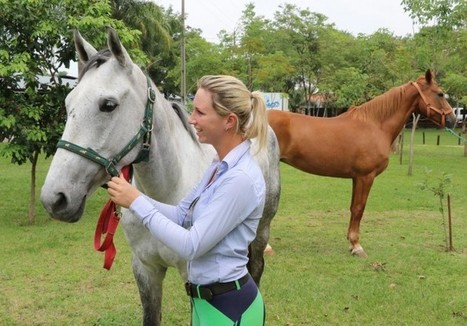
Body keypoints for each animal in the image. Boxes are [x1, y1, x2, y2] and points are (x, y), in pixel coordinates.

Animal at [40, 28, 280, 326]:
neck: (166, 190)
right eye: (67, 104)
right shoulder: (145, 269)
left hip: (261, 232)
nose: (54, 199)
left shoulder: (193, 278)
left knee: (255, 269)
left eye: (108, 105)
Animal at [268, 70, 456, 258]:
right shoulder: (366, 177)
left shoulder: (356, 178)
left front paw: (351, 244)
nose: (453, 119)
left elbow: (353, 208)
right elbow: (359, 208)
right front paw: (357, 246)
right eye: (440, 94)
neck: (375, 125)